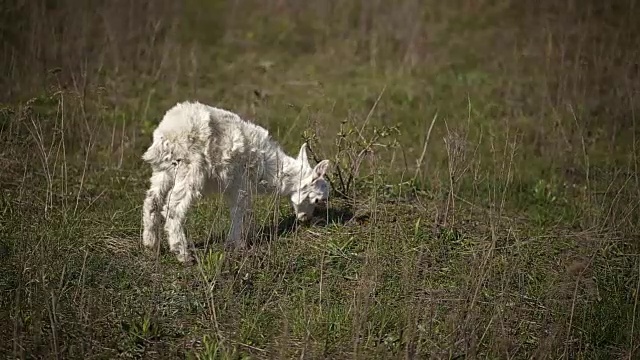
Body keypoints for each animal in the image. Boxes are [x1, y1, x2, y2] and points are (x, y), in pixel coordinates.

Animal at [141, 100, 330, 262]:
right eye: (317, 200)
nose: (305, 219)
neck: (269, 166)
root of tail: (168, 132)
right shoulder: (240, 185)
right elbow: (239, 211)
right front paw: (236, 244)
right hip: (189, 168)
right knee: (174, 209)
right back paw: (183, 255)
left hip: (163, 170)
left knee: (152, 200)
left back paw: (151, 244)